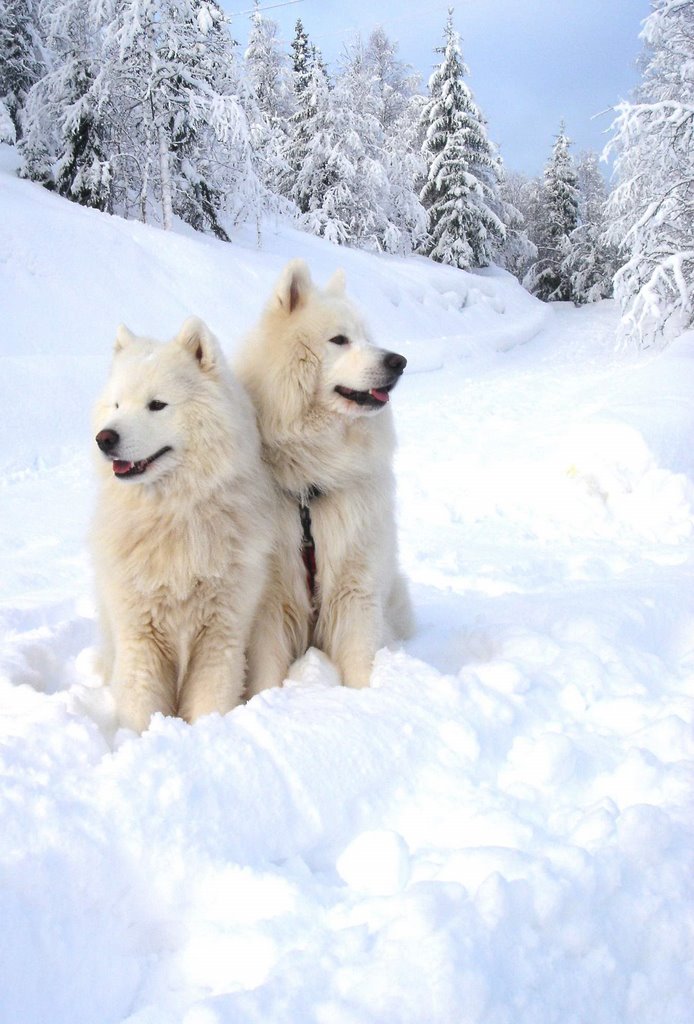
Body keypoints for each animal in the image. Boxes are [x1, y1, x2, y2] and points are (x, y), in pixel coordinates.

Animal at [91, 315, 274, 733]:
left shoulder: (221, 634)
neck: (176, 516)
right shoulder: (140, 635)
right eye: (117, 404)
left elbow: (210, 702)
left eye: (157, 405)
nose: (104, 438)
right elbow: (140, 709)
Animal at [236, 256, 415, 696]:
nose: (398, 361)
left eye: (367, 338)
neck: (311, 482)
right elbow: (266, 671)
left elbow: (359, 659)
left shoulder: (355, 584)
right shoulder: (271, 598)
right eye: (339, 340)